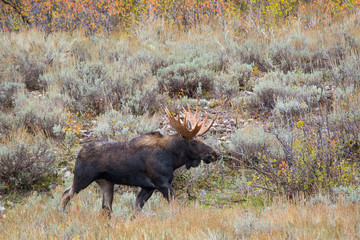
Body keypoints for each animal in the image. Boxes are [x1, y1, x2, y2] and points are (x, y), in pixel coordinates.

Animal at [60, 106, 218, 213]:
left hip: (106, 182)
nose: (214, 154)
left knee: (106, 208)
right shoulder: (162, 183)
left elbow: (136, 209)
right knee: (66, 194)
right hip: (82, 178)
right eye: (194, 142)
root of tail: (80, 151)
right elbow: (176, 205)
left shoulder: (148, 187)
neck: (173, 159)